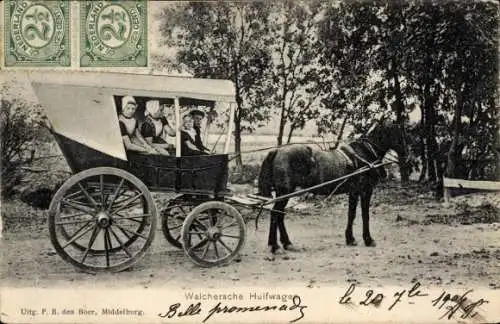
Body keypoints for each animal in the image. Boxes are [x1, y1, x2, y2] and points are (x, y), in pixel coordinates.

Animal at [258, 120, 410, 260]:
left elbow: (351, 214)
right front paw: (368, 240)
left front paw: (350, 239)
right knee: (275, 214)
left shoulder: (354, 192)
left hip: (285, 193)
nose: (407, 154)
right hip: (285, 192)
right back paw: (275, 246)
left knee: (279, 215)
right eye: (399, 132)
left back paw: (287, 243)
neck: (365, 154)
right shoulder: (365, 190)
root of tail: (277, 151)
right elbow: (364, 215)